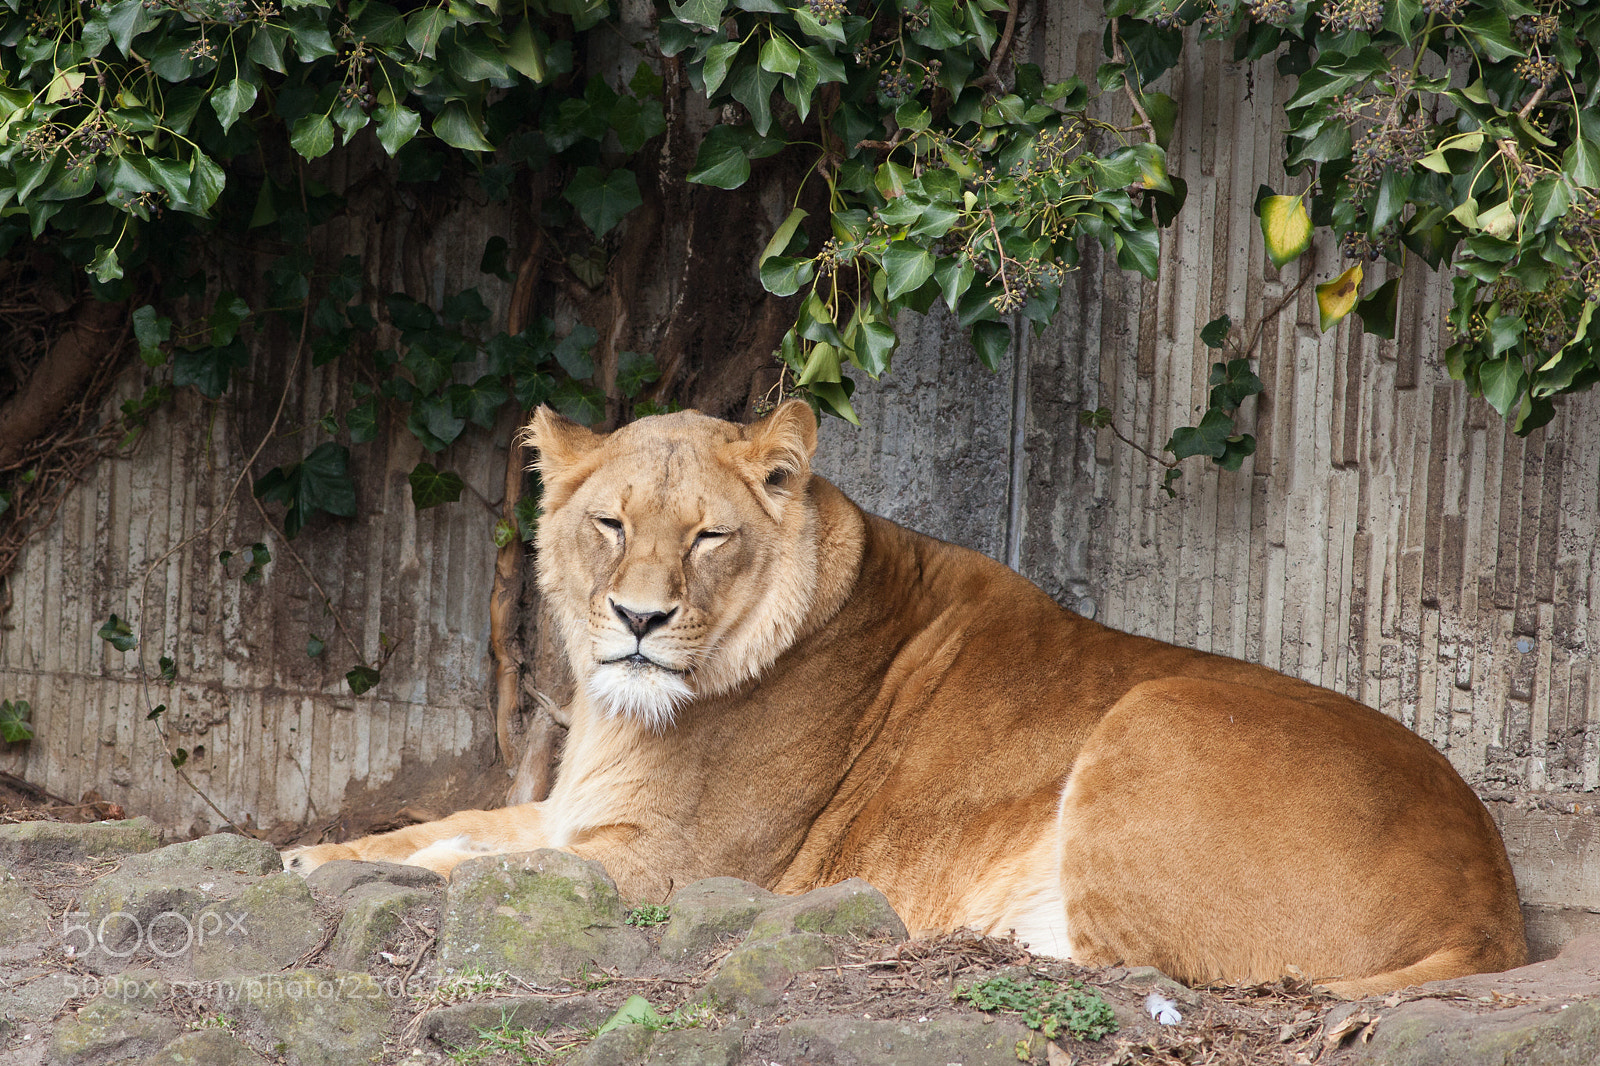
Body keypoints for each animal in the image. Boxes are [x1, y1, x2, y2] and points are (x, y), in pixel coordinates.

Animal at [286, 400, 1526, 996]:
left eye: (707, 536)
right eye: (609, 523)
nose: (637, 618)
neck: (617, 706)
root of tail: (1492, 904)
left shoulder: (667, 867)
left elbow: (494, 866)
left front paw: (381, 868)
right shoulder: (570, 806)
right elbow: (442, 826)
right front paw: (310, 855)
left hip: (1155, 713)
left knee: (1120, 960)